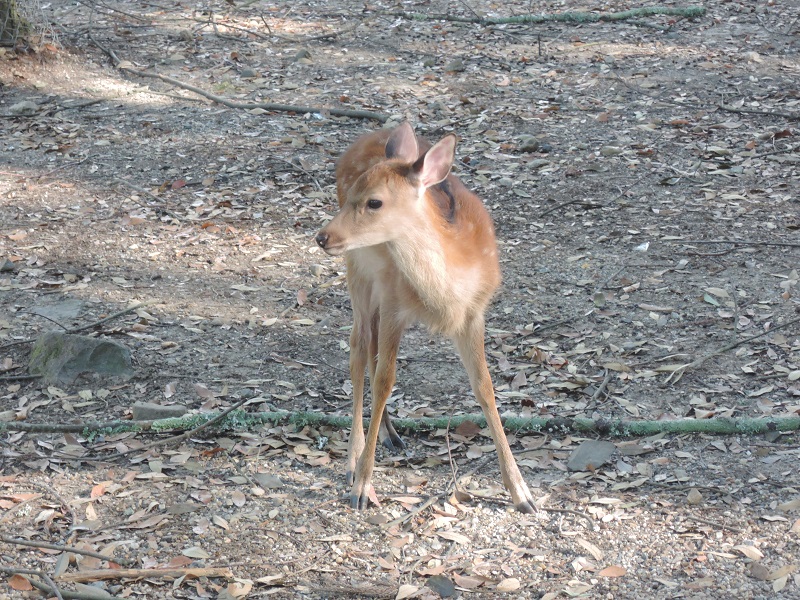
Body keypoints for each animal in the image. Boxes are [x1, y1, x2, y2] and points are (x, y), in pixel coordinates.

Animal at [314, 123, 536, 516]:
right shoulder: (393, 302)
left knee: (368, 349)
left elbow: (485, 388)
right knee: (359, 350)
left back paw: (390, 436)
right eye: (353, 194)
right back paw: (353, 459)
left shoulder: (474, 312)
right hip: (359, 270)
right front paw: (362, 486)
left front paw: (521, 491)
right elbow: (384, 379)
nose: (322, 237)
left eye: (374, 201)